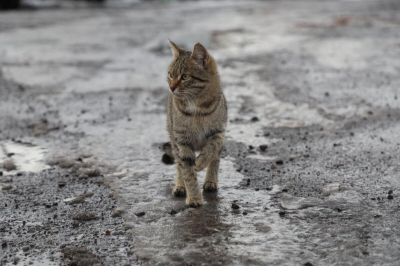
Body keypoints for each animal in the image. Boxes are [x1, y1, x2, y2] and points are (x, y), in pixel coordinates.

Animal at [162, 39, 225, 207]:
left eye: (185, 76)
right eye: (170, 75)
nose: (171, 88)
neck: (196, 108)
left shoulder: (219, 131)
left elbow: (212, 148)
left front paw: (202, 161)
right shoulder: (181, 140)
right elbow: (187, 171)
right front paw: (194, 196)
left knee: (215, 158)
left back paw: (210, 181)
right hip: (173, 138)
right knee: (179, 164)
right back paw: (180, 186)